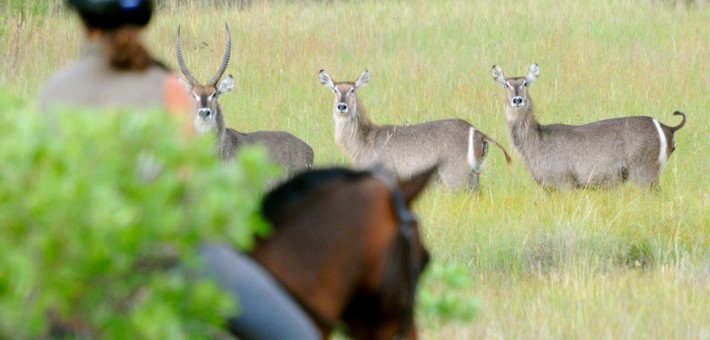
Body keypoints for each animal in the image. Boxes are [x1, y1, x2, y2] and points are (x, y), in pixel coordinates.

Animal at [322, 69, 512, 191]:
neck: (365, 138)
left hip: (455, 176)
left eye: (352, 89)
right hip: (474, 175)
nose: (342, 106)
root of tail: (479, 133)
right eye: (335, 90)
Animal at [492, 63, 688, 190]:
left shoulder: (563, 183)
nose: (517, 100)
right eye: (507, 84)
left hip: (644, 173)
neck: (536, 140)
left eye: (525, 83)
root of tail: (667, 127)